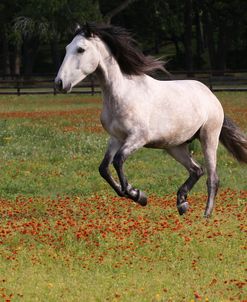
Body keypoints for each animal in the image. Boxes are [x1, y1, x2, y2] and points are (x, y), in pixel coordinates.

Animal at [55, 23, 247, 217]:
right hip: (175, 146)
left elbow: (118, 160)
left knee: (212, 178)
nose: (59, 83)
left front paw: (137, 194)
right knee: (196, 170)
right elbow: (104, 169)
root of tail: (210, 95)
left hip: (209, 137)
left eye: (81, 49)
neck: (122, 93)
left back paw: (206, 214)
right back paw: (182, 202)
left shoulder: (138, 138)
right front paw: (137, 195)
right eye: (66, 48)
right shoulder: (116, 138)